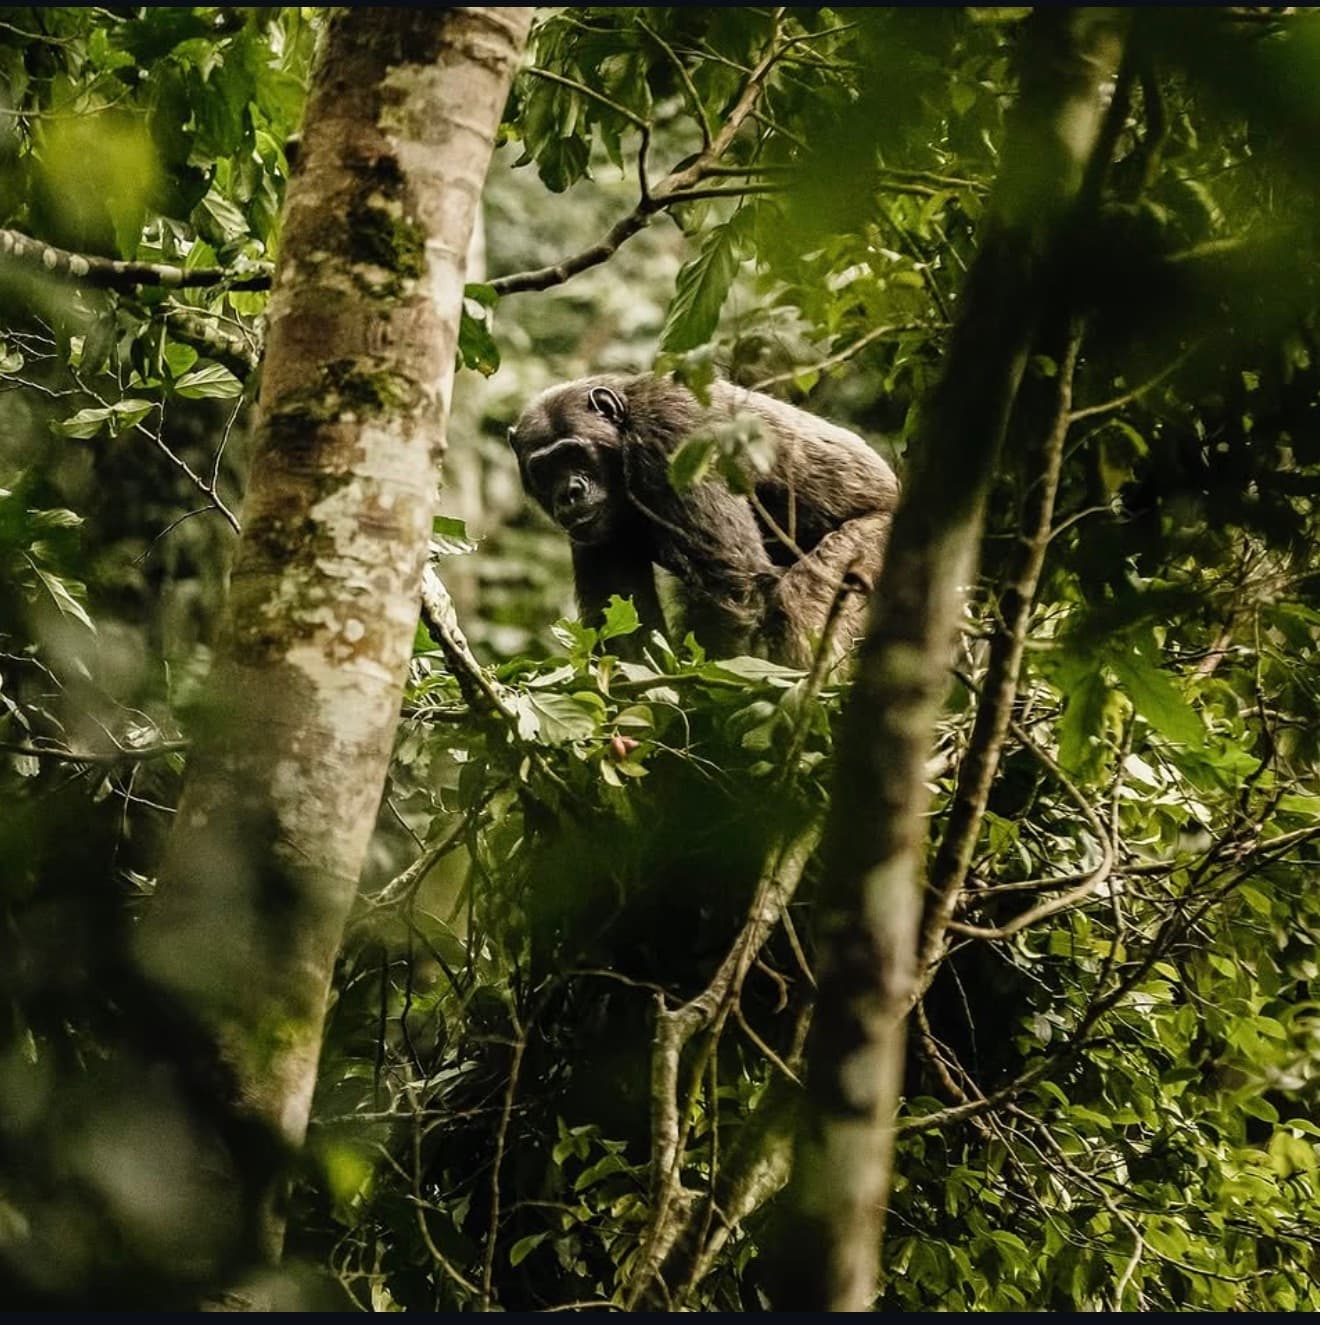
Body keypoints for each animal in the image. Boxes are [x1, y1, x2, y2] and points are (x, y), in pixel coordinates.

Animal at [508, 373, 900, 667]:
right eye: (545, 469)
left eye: (572, 454)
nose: (569, 491)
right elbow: (624, 621)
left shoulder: (673, 436)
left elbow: (729, 585)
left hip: (876, 541)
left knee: (807, 596)